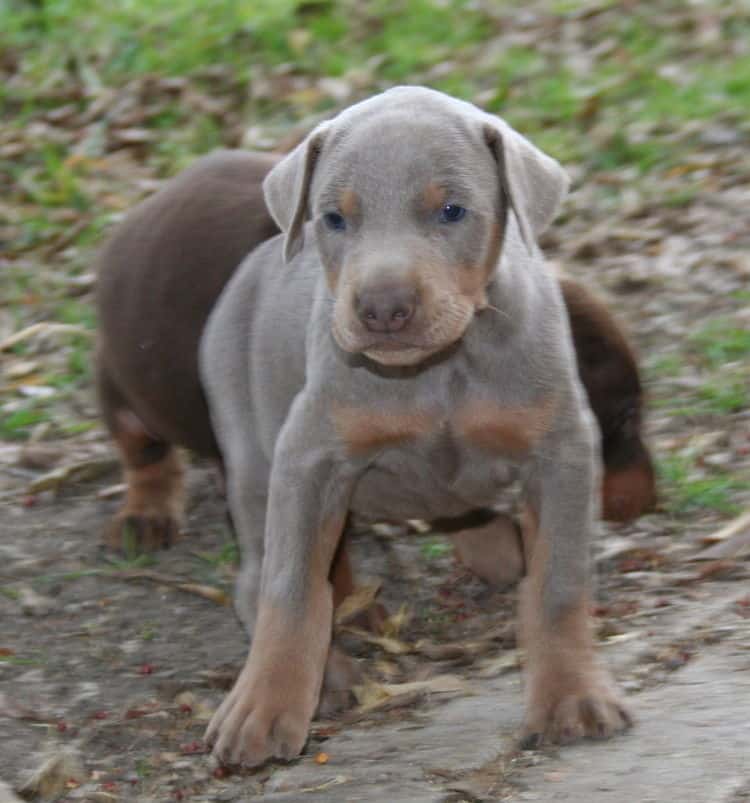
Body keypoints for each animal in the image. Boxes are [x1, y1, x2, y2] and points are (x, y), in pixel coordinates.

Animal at [201, 86, 636, 768]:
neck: (443, 368)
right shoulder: (308, 455)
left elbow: (560, 582)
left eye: (451, 210)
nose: (383, 310)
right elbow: (291, 587)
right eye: (333, 219)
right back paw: (333, 670)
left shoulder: (562, 448)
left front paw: (573, 696)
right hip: (249, 452)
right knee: (257, 574)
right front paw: (262, 709)